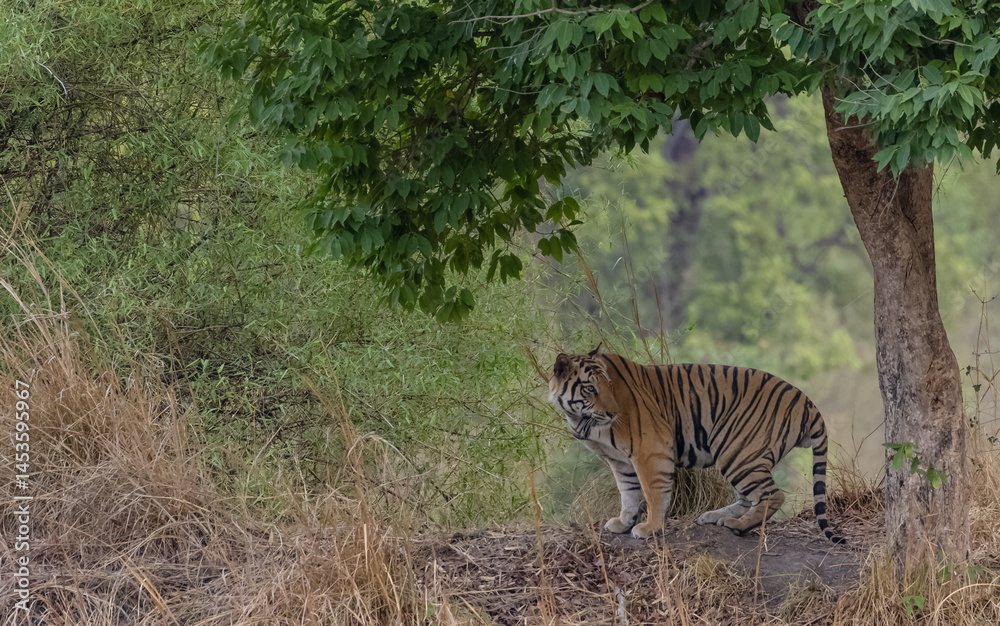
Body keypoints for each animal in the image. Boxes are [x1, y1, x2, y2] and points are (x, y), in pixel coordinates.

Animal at [549, 345, 845, 544]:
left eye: (609, 386)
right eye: (590, 388)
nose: (613, 413)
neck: (581, 418)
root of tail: (806, 402)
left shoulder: (650, 449)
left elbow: (652, 493)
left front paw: (649, 528)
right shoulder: (620, 461)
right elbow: (628, 492)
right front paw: (623, 522)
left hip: (735, 451)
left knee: (773, 495)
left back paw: (738, 525)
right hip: (740, 456)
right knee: (750, 496)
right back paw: (715, 517)